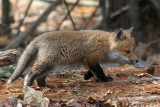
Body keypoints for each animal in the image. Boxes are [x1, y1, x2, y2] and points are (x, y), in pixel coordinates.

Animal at [7, 27, 138, 88]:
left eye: (133, 50)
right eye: (128, 51)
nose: (137, 60)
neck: (105, 44)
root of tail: (36, 38)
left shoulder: (87, 61)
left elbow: (93, 71)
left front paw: (86, 76)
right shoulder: (90, 58)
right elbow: (99, 71)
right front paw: (104, 79)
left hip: (51, 66)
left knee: (40, 78)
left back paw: (45, 87)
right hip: (47, 64)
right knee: (30, 73)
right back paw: (28, 87)